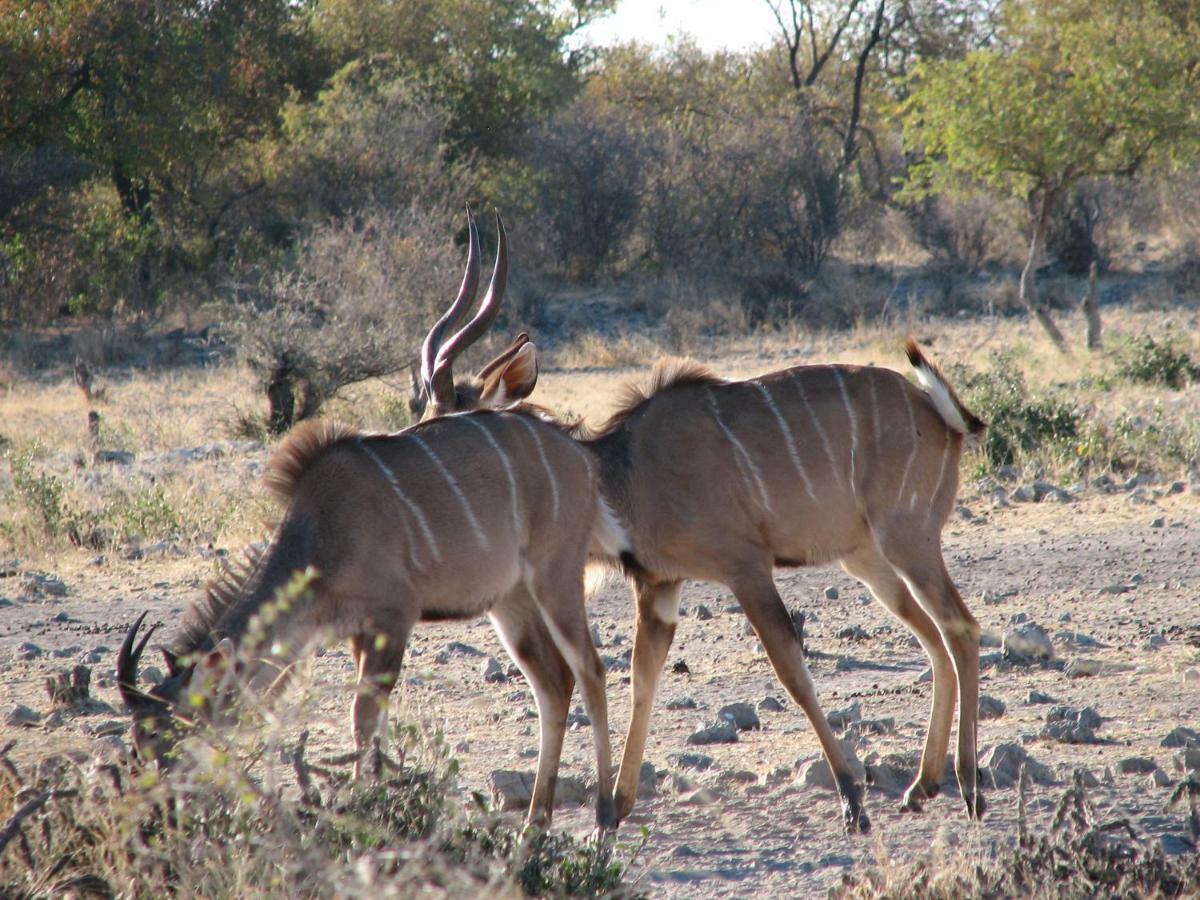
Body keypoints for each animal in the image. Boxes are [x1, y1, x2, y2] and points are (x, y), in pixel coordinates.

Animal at [117, 211, 624, 830]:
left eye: (173, 732)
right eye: (137, 740)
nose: (157, 809)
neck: (321, 530)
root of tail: (578, 454)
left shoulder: (392, 619)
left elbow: (365, 721)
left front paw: (368, 808)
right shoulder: (355, 633)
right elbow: (366, 724)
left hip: (555, 581)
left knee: (591, 671)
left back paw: (605, 815)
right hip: (511, 602)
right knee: (554, 684)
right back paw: (535, 821)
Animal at [585, 343, 988, 830]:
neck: (627, 470)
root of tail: (944, 418)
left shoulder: (746, 568)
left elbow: (792, 672)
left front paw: (852, 801)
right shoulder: (660, 585)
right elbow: (642, 679)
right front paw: (610, 814)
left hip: (907, 539)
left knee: (961, 630)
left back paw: (969, 788)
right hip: (871, 562)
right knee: (936, 643)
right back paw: (921, 786)